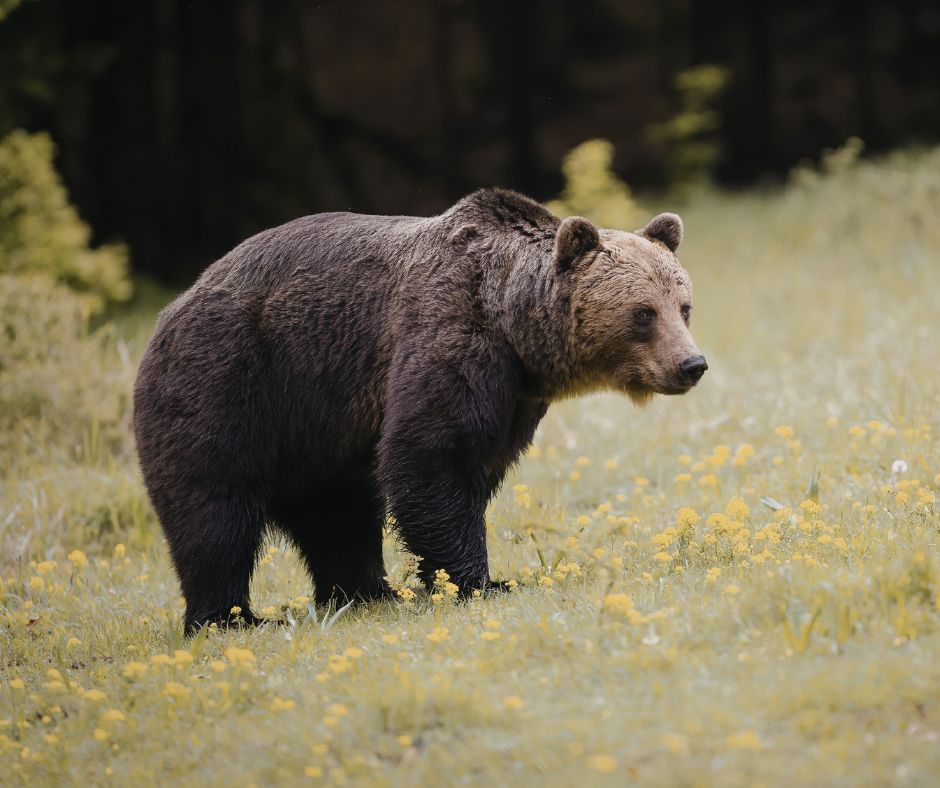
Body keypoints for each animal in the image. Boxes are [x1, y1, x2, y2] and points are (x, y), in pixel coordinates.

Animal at [133, 188, 706, 633]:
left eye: (683, 306)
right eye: (642, 313)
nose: (691, 364)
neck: (515, 328)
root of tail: (170, 311)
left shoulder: (516, 397)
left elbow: (468, 467)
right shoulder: (449, 332)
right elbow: (433, 452)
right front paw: (481, 581)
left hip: (320, 429)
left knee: (336, 510)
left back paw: (364, 592)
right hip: (230, 379)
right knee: (214, 505)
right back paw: (230, 618)